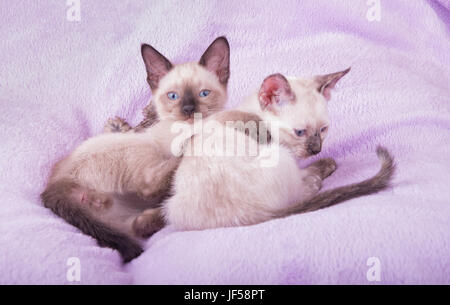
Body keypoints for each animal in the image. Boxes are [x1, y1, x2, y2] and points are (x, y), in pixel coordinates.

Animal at [40, 35, 234, 260]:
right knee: (150, 186)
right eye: (173, 96)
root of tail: (54, 184)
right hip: (139, 147)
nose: (188, 110)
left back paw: (149, 220)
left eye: (204, 94)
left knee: (140, 223)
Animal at [135, 69, 396, 230]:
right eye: (300, 132)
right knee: (304, 192)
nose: (316, 150)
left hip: (174, 200)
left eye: (323, 130)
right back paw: (323, 170)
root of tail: (245, 217)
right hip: (280, 158)